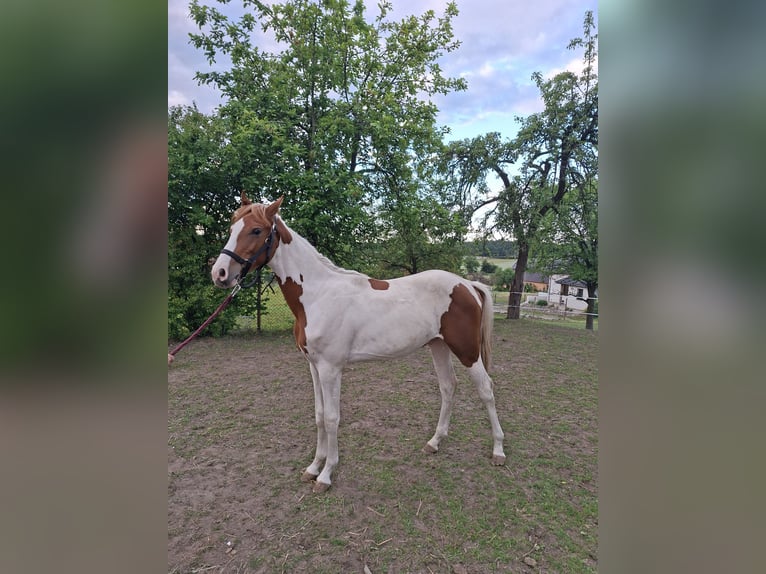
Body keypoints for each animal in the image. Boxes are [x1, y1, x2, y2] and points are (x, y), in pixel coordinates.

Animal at [211, 194, 506, 492]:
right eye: (232, 228)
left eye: (256, 230)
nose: (220, 273)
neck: (318, 294)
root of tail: (467, 284)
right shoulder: (314, 367)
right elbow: (319, 415)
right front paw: (313, 467)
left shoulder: (331, 369)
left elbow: (332, 418)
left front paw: (326, 475)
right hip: (439, 346)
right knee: (448, 387)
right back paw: (434, 443)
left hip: (467, 351)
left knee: (486, 390)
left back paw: (498, 451)